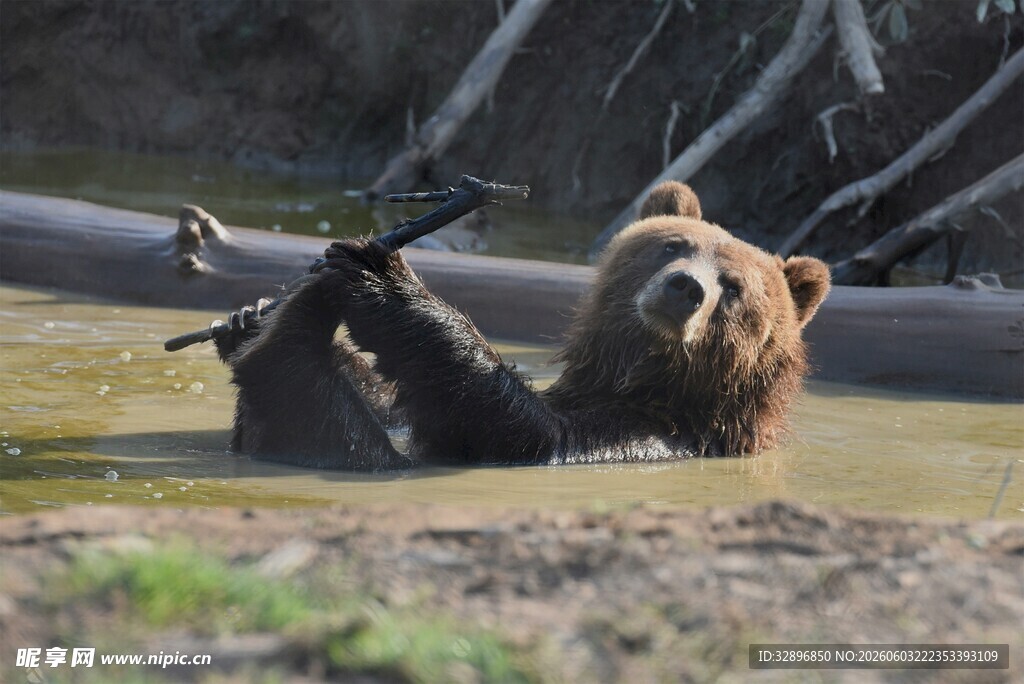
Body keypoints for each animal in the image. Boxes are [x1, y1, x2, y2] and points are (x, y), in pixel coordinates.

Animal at [212, 181, 831, 469]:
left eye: (735, 287)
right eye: (672, 245)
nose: (686, 288)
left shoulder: (655, 435)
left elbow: (525, 432)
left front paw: (380, 275)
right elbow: (392, 404)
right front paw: (245, 314)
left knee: (315, 411)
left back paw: (293, 327)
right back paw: (255, 323)